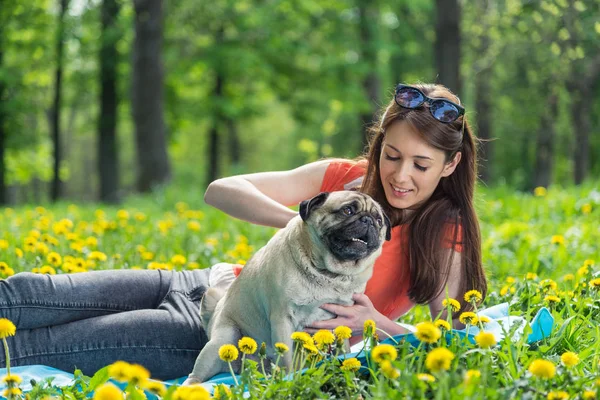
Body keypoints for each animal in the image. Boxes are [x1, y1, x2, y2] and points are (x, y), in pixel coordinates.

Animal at [185, 191, 392, 384]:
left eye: (379, 220)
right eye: (347, 210)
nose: (368, 220)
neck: (329, 274)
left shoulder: (339, 323)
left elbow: (344, 350)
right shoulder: (282, 319)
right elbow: (287, 360)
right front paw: (291, 380)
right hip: (222, 339)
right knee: (196, 374)